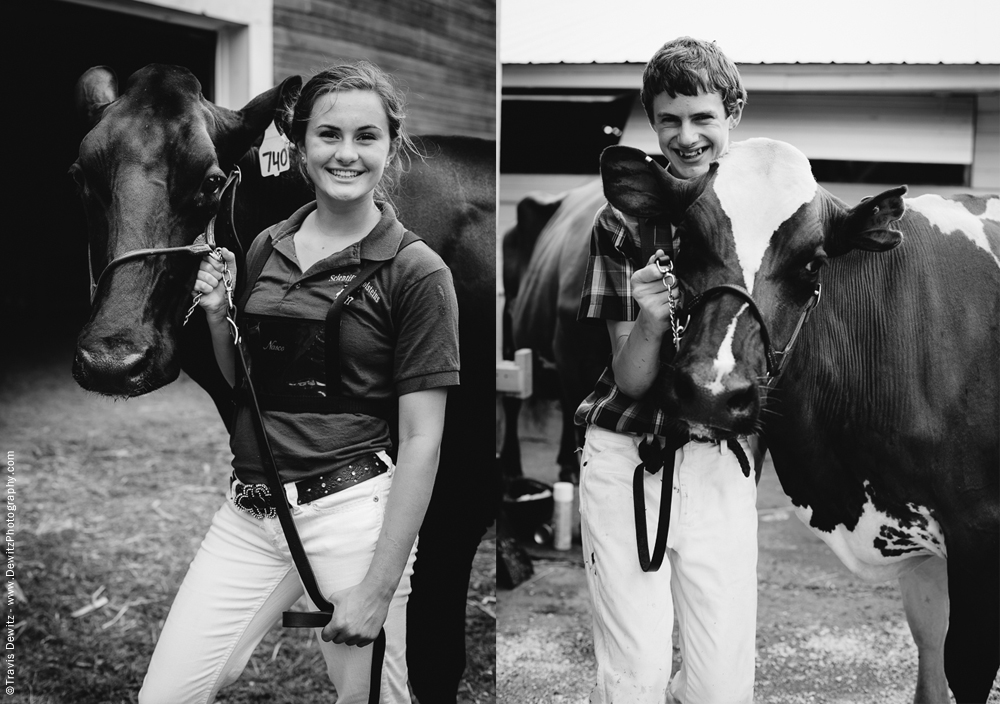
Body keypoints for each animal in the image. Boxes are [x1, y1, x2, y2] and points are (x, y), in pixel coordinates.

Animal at [600, 138, 1000, 704]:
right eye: (686, 240)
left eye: (812, 265)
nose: (710, 393)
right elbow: (931, 653)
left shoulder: (978, 532)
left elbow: (964, 665)